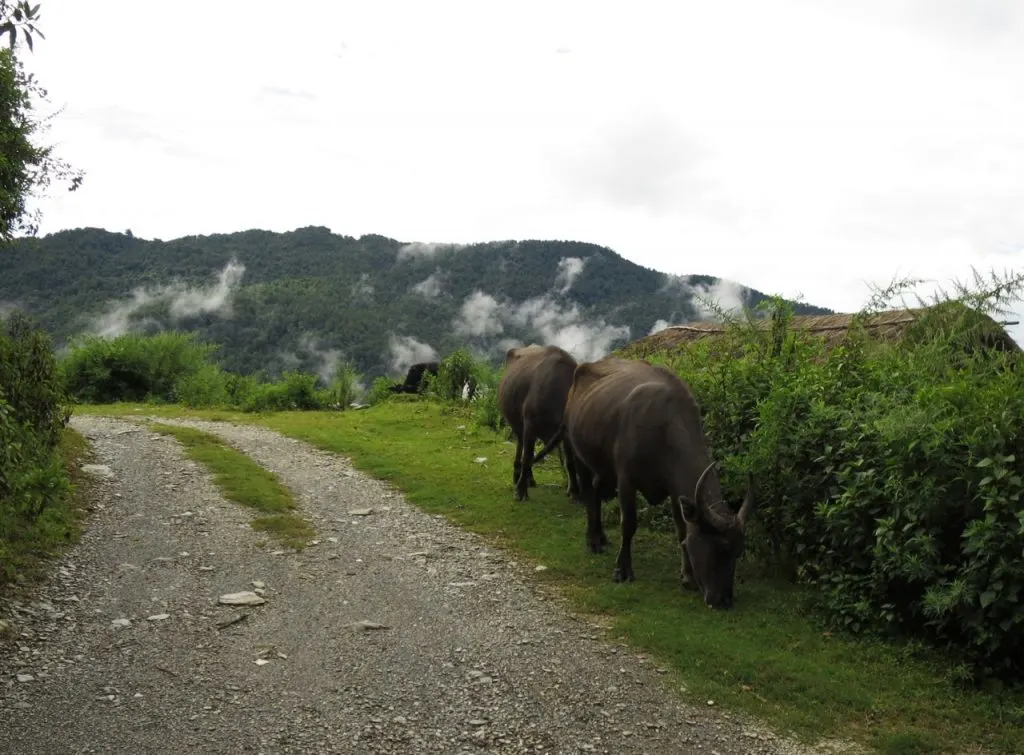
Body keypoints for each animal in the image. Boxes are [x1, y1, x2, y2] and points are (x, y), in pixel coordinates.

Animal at [497, 346, 581, 499]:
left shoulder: (565, 435)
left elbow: (569, 461)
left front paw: (574, 492)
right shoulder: (530, 423)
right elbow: (527, 457)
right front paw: (520, 491)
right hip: (518, 423)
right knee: (522, 446)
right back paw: (519, 475)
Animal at [532, 356, 757, 610]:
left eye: (738, 552)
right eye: (719, 548)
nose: (724, 600)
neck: (664, 428)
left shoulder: (674, 489)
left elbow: (682, 530)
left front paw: (687, 576)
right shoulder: (626, 480)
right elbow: (628, 524)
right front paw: (622, 570)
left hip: (603, 467)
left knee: (597, 493)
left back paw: (601, 536)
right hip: (580, 454)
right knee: (590, 495)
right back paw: (593, 540)